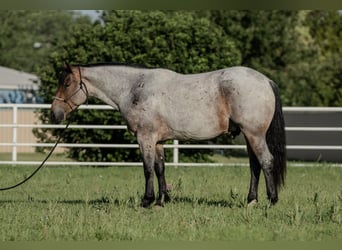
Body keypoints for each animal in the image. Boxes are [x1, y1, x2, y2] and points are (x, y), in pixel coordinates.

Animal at [50, 62, 286, 207]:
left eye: (67, 83)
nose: (54, 114)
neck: (134, 88)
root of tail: (265, 81)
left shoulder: (144, 138)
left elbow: (147, 169)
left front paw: (147, 200)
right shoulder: (158, 141)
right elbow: (159, 168)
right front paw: (162, 200)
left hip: (254, 134)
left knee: (266, 161)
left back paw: (272, 200)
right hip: (247, 136)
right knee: (255, 166)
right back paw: (251, 200)